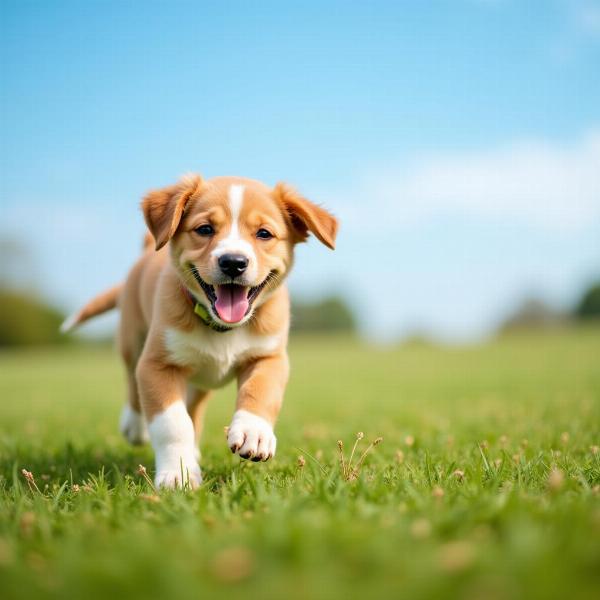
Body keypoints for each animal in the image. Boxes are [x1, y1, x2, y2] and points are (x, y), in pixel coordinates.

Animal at [65, 173, 340, 488]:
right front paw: (178, 475)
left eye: (264, 234)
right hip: (132, 339)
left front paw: (254, 433)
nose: (233, 262)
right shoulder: (158, 364)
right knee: (132, 378)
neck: (223, 328)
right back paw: (135, 425)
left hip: (198, 382)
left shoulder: (270, 357)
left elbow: (260, 390)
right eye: (205, 229)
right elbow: (172, 423)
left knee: (193, 410)